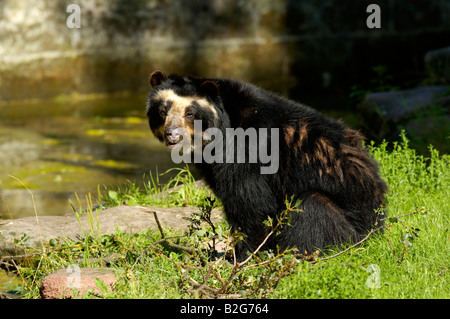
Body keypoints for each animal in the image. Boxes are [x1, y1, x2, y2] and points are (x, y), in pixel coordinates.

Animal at [146, 71, 388, 264]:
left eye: (190, 113)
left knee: (311, 208)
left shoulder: (246, 147)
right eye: (162, 112)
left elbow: (250, 202)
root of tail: (377, 228)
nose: (172, 135)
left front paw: (242, 258)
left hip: (348, 230)